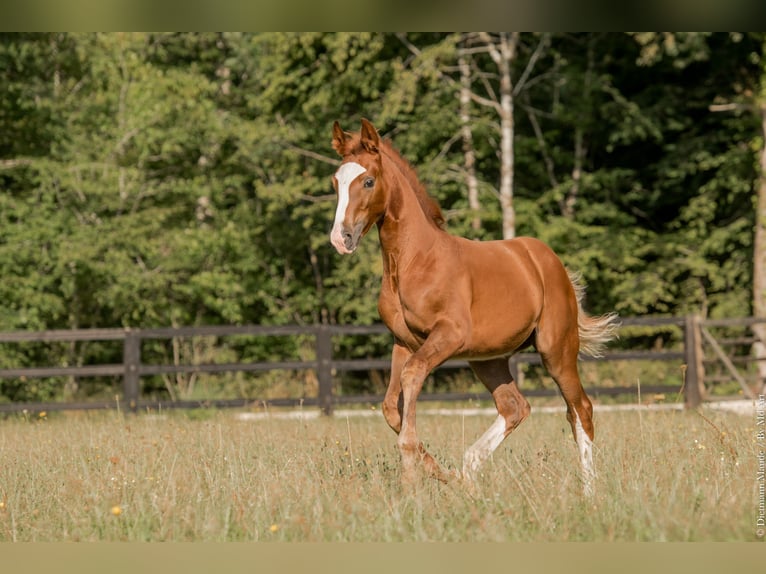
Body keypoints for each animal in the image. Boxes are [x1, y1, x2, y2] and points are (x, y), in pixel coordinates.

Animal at [328, 119, 616, 498]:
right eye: (336, 182)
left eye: (368, 181)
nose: (340, 238)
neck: (414, 261)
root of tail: (549, 261)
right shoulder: (402, 342)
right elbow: (391, 406)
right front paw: (442, 473)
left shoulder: (448, 336)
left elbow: (412, 377)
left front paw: (410, 475)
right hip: (489, 358)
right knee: (515, 407)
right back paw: (467, 472)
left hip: (556, 349)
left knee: (579, 409)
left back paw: (589, 493)